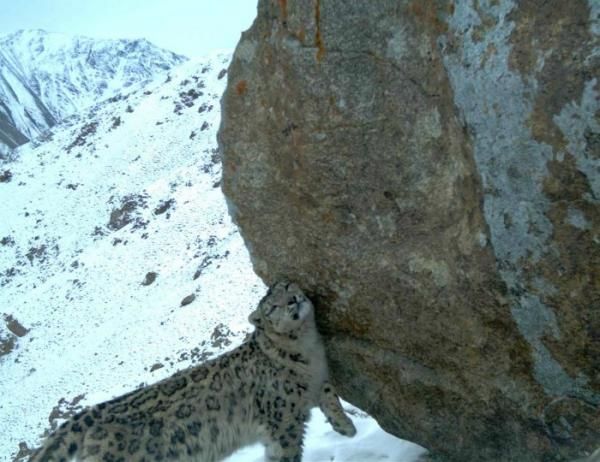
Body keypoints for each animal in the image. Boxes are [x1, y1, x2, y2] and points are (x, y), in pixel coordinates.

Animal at [29, 280, 356, 462]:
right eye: (272, 307)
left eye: (286, 288)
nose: (292, 301)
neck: (306, 349)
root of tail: (93, 411)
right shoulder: (282, 420)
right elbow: (285, 451)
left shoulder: (320, 377)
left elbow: (330, 397)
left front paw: (346, 427)